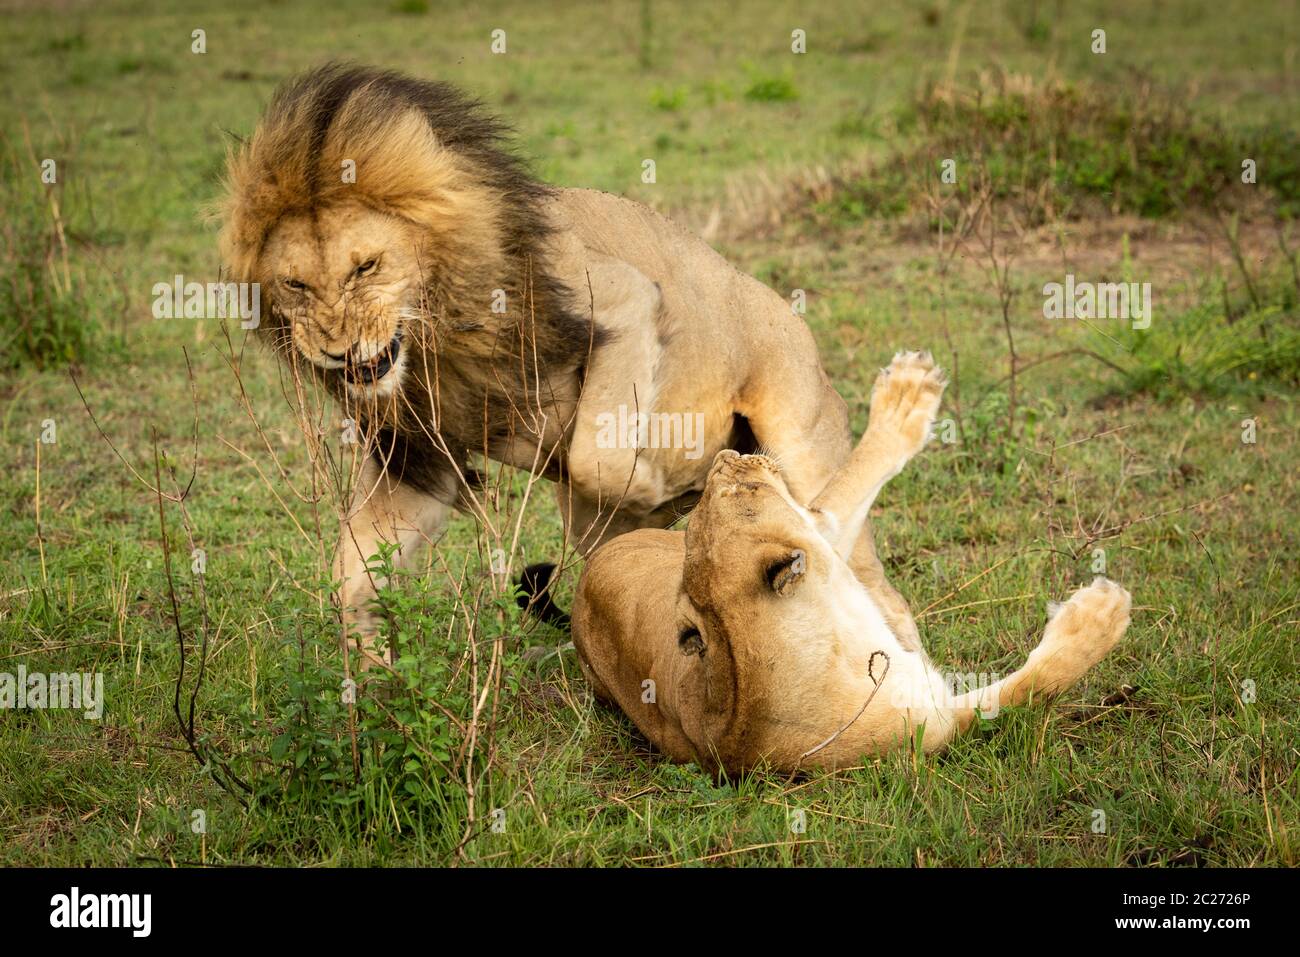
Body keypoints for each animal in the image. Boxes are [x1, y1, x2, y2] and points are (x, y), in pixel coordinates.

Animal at [215, 65, 915, 665]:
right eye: (295, 285)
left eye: (366, 266)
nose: (335, 349)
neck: (436, 341)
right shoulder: (420, 458)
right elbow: (353, 576)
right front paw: (374, 680)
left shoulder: (623, 296)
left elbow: (596, 461)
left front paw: (658, 487)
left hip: (800, 439)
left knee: (861, 565)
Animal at [569, 351, 1128, 769]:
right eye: (746, 490)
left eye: (713, 500)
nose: (729, 456)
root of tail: (591, 567)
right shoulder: (936, 725)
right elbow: (1032, 686)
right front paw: (1101, 613)